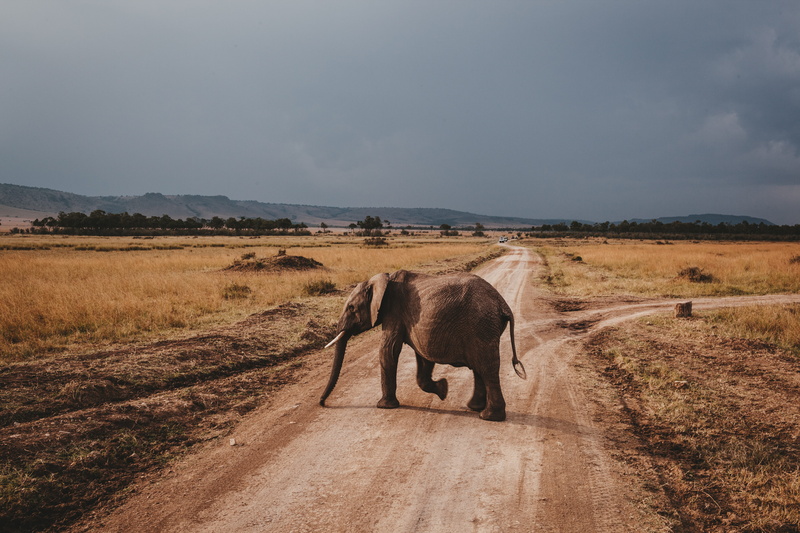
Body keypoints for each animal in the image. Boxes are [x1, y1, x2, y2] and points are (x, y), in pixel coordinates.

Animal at [319, 270, 526, 421]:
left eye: (351, 308)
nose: (322, 403)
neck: (383, 279)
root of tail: (502, 304)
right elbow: (423, 358)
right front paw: (443, 390)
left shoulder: (394, 312)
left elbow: (388, 350)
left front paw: (384, 406)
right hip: (483, 327)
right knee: (479, 367)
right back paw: (474, 408)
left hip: (482, 325)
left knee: (486, 367)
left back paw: (489, 417)